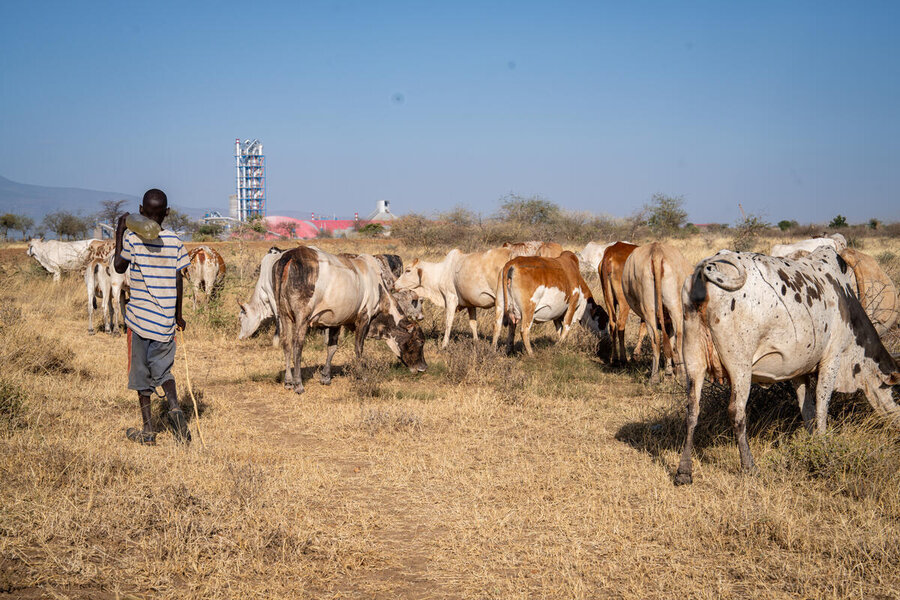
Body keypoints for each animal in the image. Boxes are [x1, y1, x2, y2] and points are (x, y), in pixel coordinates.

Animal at [274, 246, 427, 394]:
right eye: (420, 341)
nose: (424, 367)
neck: (379, 290)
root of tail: (290, 256)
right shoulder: (364, 318)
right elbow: (359, 348)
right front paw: (363, 375)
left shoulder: (335, 322)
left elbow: (332, 348)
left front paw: (326, 377)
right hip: (302, 317)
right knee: (297, 345)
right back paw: (298, 384)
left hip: (283, 315)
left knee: (286, 344)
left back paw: (288, 382)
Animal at [621, 242, 692, 383]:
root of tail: (657, 251)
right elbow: (671, 341)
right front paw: (670, 374)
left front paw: (669, 374)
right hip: (673, 306)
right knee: (676, 337)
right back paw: (679, 376)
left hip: (651, 308)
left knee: (658, 339)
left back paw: (655, 377)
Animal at [675, 247, 900, 485]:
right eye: (892, 390)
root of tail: (703, 271)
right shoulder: (832, 359)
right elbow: (822, 405)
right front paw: (823, 444)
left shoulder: (798, 372)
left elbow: (806, 408)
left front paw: (812, 442)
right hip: (740, 366)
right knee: (736, 411)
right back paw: (749, 466)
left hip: (693, 360)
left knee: (692, 410)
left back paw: (684, 471)